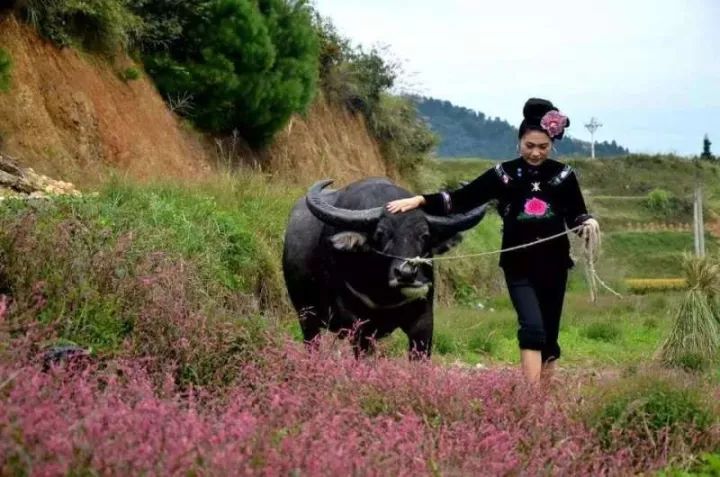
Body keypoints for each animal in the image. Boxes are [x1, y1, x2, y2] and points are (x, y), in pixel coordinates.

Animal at [280, 178, 484, 356]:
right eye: (381, 233)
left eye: (424, 235)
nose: (406, 273)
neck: (385, 295)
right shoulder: (358, 324)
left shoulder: (423, 321)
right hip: (306, 316)